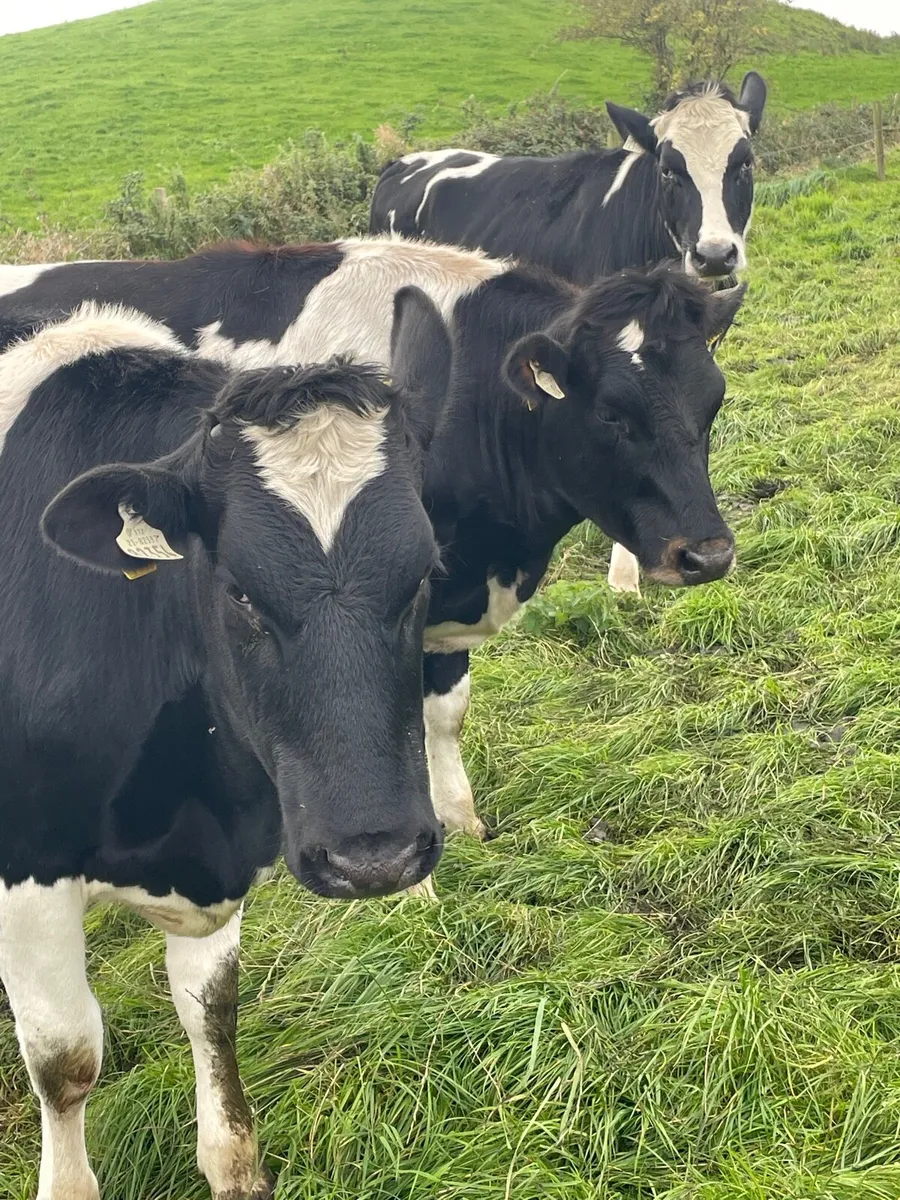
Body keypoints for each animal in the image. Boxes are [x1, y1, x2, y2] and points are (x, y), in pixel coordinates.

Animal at [0, 286, 451, 1200]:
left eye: (425, 571)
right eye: (239, 590)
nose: (375, 858)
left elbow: (213, 1010)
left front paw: (233, 1163)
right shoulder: (24, 870)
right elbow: (65, 1059)